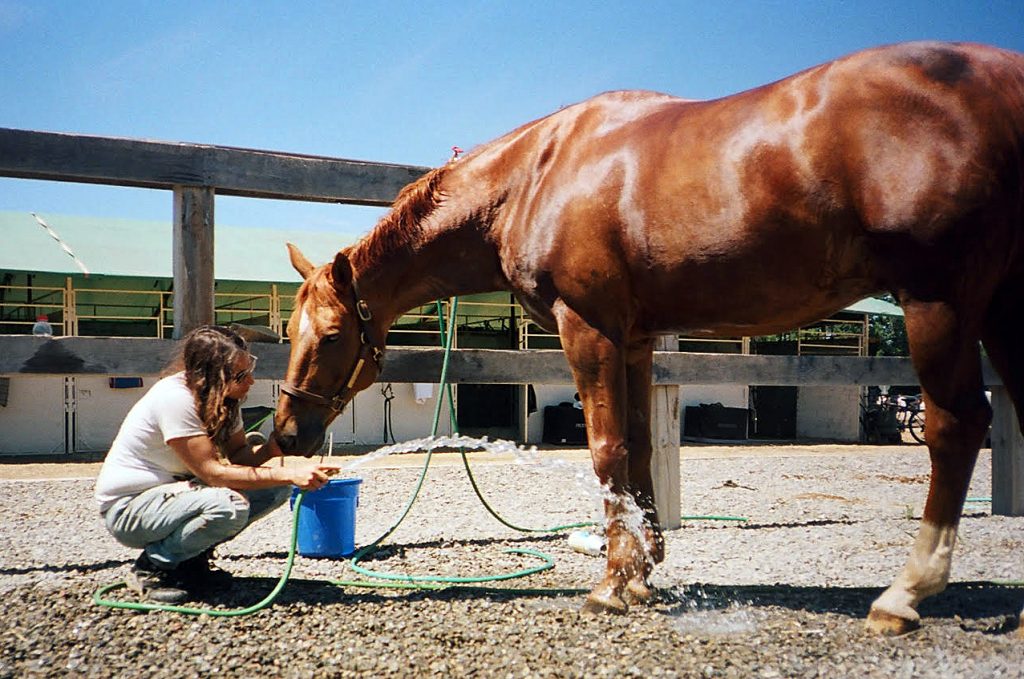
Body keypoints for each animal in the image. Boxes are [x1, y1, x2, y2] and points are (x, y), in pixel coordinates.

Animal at [274, 42, 1024, 634]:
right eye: (288, 330)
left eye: (333, 334)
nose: (285, 431)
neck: (536, 173)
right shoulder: (632, 341)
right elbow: (637, 448)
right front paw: (640, 571)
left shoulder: (588, 329)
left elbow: (607, 451)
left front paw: (610, 585)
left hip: (938, 303)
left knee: (957, 426)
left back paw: (904, 596)